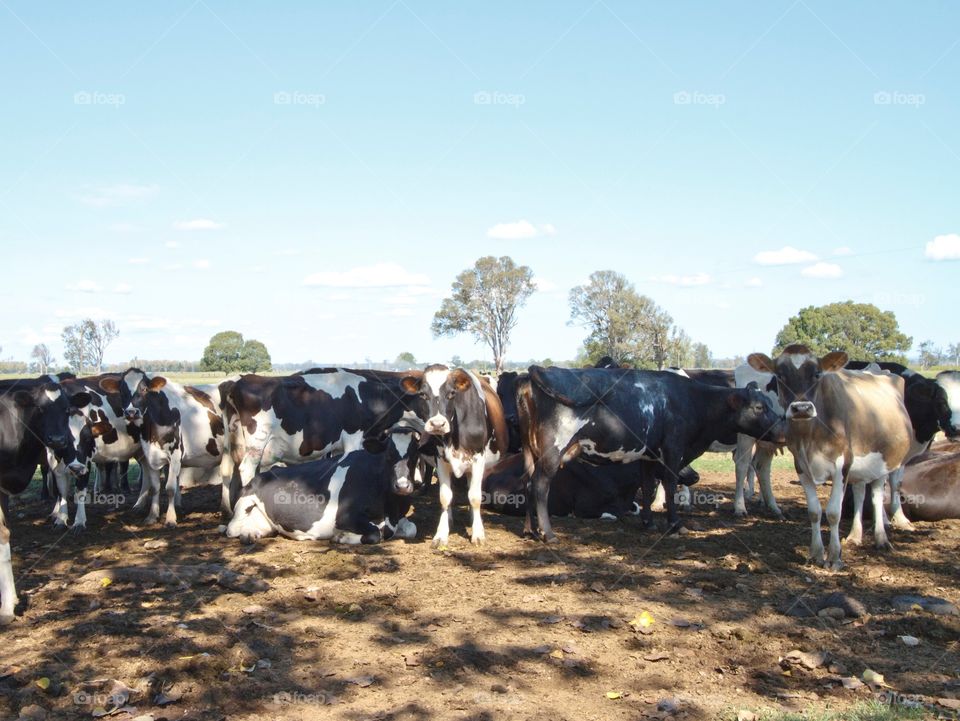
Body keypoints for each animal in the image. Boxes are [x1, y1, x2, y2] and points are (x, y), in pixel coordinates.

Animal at [225, 420, 424, 544]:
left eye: (415, 455)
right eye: (388, 455)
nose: (403, 486)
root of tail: (268, 472)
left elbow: (412, 528)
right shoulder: (345, 516)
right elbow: (375, 533)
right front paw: (342, 537)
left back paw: (252, 533)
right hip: (245, 502)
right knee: (231, 529)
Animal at [396, 366, 506, 544]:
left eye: (451, 393)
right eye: (422, 394)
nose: (437, 424)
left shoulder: (478, 459)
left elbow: (475, 497)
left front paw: (478, 533)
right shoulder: (441, 461)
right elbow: (445, 497)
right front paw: (441, 533)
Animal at [516, 366, 780, 540]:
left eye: (770, 403)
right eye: (759, 407)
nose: (781, 425)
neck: (691, 399)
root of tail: (535, 372)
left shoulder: (649, 455)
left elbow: (647, 485)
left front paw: (648, 522)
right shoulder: (673, 450)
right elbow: (670, 485)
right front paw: (675, 524)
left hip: (530, 452)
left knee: (527, 483)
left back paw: (530, 529)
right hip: (552, 452)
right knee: (540, 486)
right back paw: (548, 533)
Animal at [748, 344, 912, 568]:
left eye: (817, 374)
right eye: (780, 376)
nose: (801, 408)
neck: (811, 436)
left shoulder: (843, 465)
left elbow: (834, 512)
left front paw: (834, 557)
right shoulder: (801, 466)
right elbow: (814, 512)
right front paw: (816, 553)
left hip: (883, 461)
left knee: (877, 495)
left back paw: (881, 539)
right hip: (861, 466)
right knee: (860, 492)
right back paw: (855, 535)